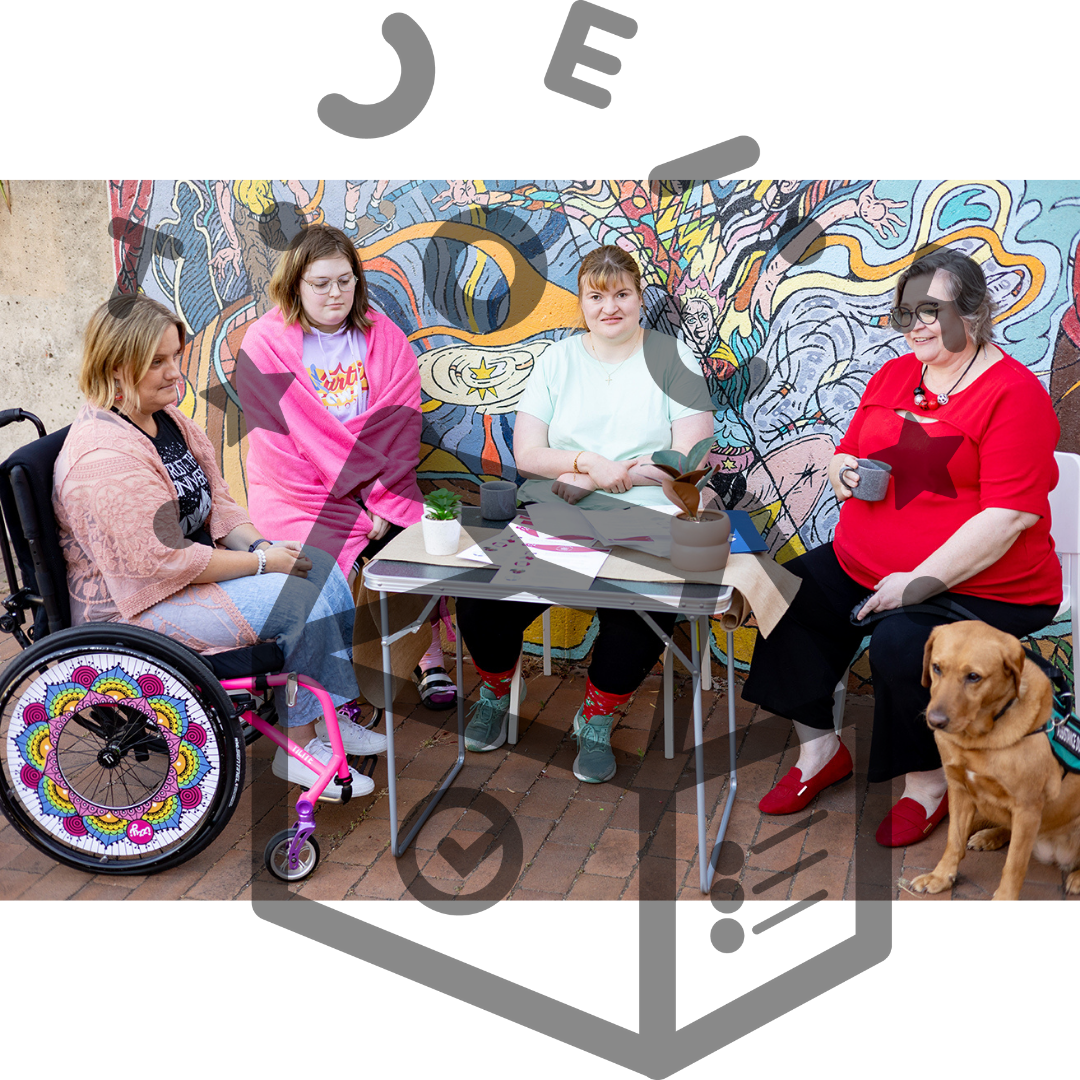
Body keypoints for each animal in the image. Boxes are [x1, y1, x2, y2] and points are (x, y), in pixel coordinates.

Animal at [911, 622, 1080, 898]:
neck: (978, 740)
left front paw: (1004, 899)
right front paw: (941, 876)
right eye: (936, 668)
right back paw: (989, 836)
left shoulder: (1027, 808)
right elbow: (953, 840)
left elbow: (1014, 865)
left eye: (973, 677)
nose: (935, 721)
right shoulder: (959, 790)